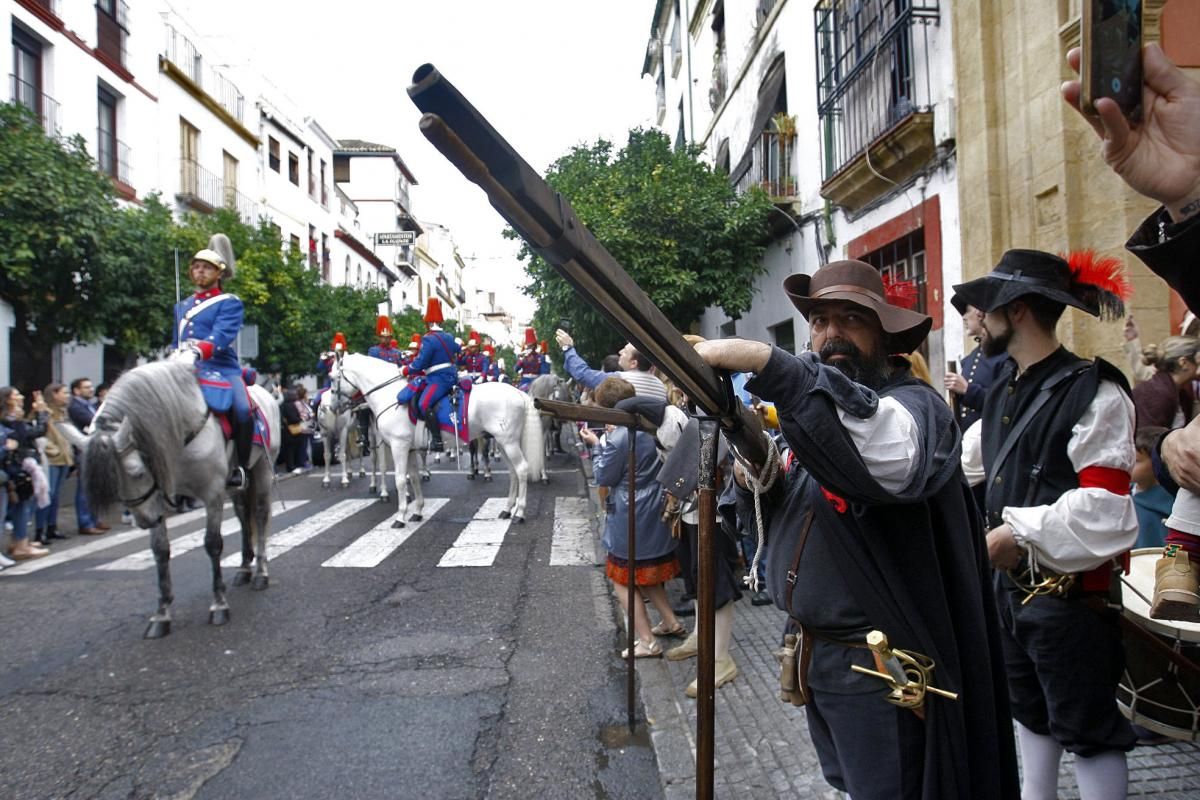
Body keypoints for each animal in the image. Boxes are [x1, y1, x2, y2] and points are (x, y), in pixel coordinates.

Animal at [59, 362, 280, 638]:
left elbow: (212, 544)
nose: (144, 521)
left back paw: (260, 573)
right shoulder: (159, 496)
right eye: (111, 479)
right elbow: (160, 550)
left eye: (137, 472)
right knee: (243, 516)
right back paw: (243, 568)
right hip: (238, 483)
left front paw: (219, 604)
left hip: (262, 469)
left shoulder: (212, 492)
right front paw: (161, 613)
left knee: (259, 516)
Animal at [328, 352, 544, 527]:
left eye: (332, 378)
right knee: (513, 472)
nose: (332, 407)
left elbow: (400, 480)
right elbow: (414, 478)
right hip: (502, 442)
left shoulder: (399, 446)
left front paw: (400, 517)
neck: (390, 397)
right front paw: (417, 512)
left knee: (522, 469)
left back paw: (520, 513)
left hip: (508, 442)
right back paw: (508, 509)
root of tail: (517, 392)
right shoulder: (410, 449)